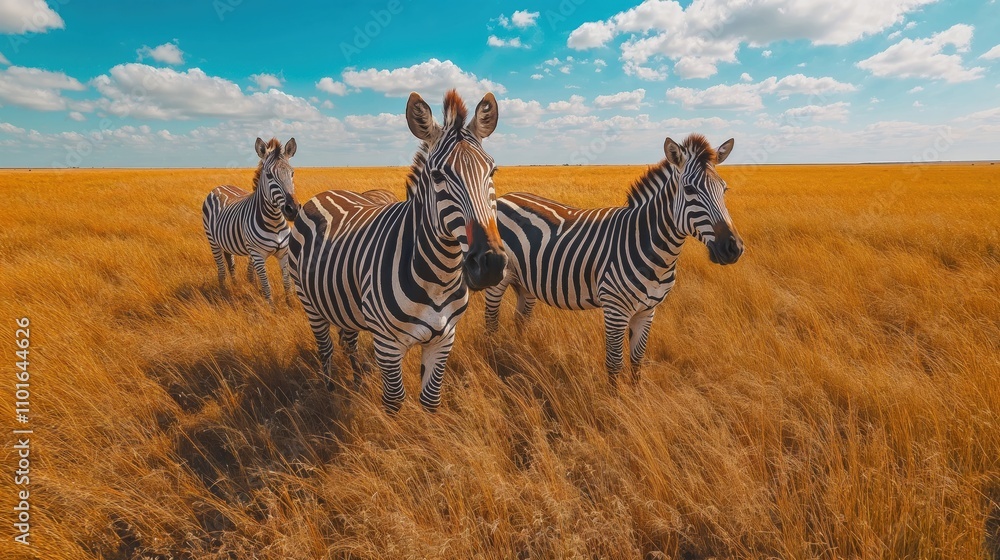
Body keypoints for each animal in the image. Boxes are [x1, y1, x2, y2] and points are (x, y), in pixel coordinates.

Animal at [202, 137, 300, 304]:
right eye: (269, 175)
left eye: (292, 173)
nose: (292, 210)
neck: (274, 222)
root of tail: (220, 187)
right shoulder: (258, 256)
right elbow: (267, 286)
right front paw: (271, 307)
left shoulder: (284, 253)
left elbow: (287, 284)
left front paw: (289, 305)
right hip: (213, 241)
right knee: (221, 269)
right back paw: (223, 292)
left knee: (231, 264)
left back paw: (236, 286)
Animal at [289, 90, 506, 413]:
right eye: (438, 177)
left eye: (492, 171)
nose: (490, 263)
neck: (439, 277)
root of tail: (325, 193)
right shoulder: (387, 345)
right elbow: (394, 402)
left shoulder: (444, 340)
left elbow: (430, 400)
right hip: (310, 303)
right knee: (325, 349)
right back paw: (329, 391)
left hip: (344, 303)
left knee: (349, 341)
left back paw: (356, 381)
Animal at [484, 134, 744, 384]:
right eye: (690, 190)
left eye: (724, 189)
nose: (733, 248)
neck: (651, 248)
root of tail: (505, 197)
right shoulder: (615, 309)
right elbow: (615, 362)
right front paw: (614, 399)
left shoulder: (647, 311)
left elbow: (637, 361)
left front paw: (637, 396)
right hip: (498, 280)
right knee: (491, 323)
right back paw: (493, 359)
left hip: (526, 282)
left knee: (520, 320)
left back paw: (519, 353)